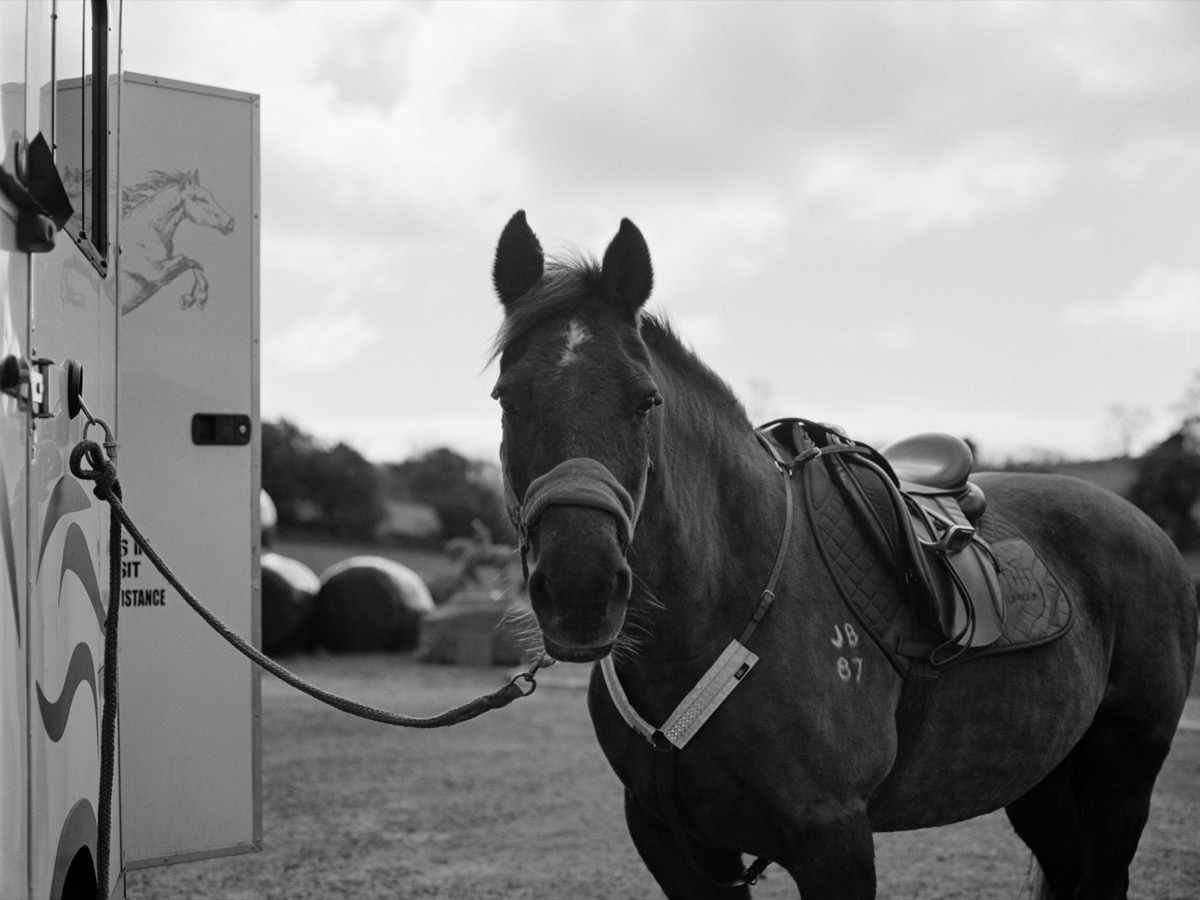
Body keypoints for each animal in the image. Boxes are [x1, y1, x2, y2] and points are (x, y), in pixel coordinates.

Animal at [488, 210, 1197, 899]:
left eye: (646, 400)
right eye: (505, 398)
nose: (580, 589)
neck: (719, 617)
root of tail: (1147, 528)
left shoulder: (832, 838)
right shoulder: (673, 841)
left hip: (1125, 768)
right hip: (1039, 775)